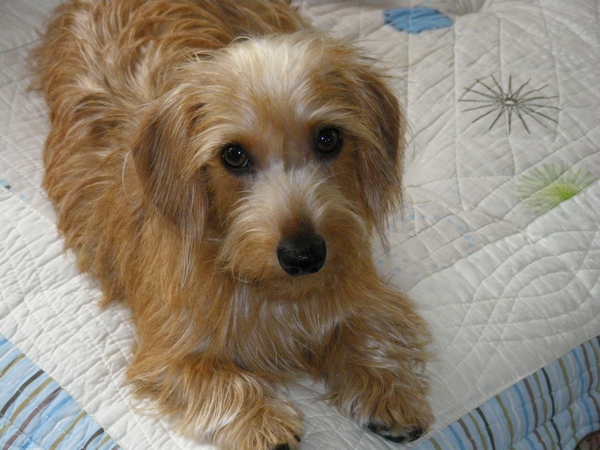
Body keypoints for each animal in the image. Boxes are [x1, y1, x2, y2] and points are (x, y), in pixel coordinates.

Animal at [32, 1, 433, 448]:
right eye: (234, 155)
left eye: (328, 138)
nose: (304, 256)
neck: (269, 292)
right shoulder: (168, 353)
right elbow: (220, 380)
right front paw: (262, 423)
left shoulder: (363, 289)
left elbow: (370, 328)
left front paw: (386, 390)